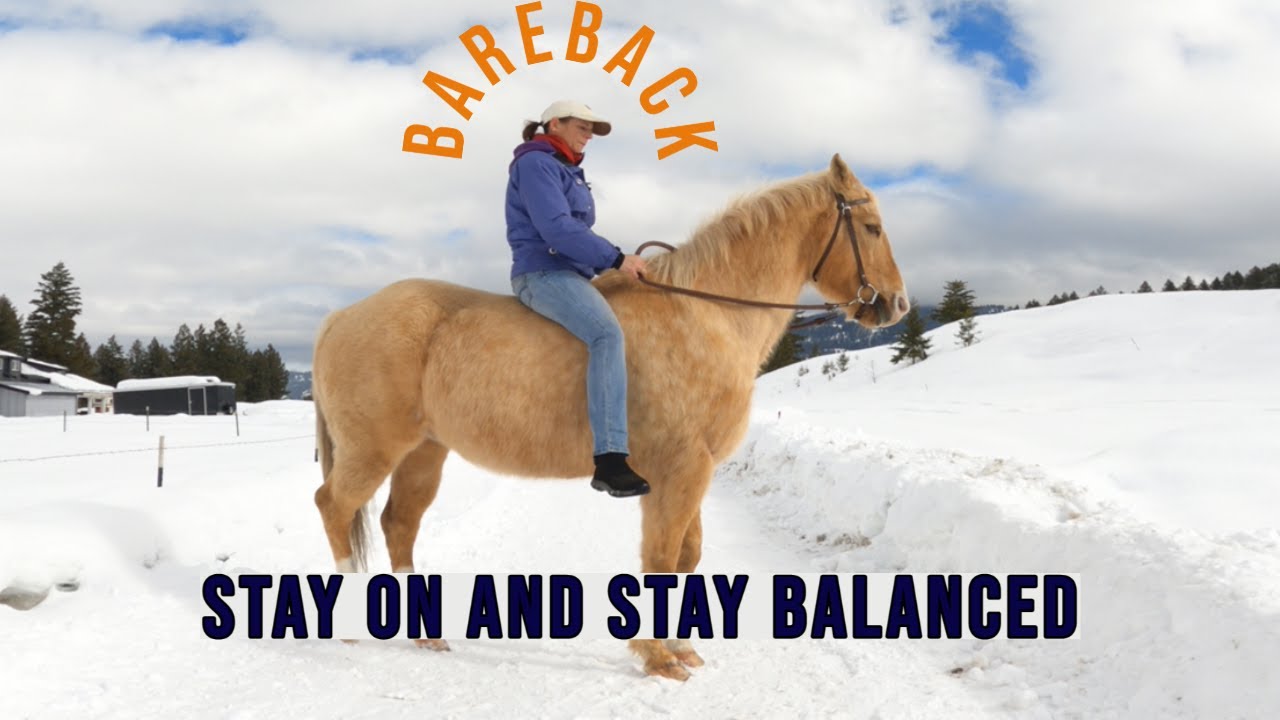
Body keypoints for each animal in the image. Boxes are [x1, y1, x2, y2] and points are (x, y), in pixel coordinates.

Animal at [309, 153, 910, 680]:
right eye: (873, 227)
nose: (897, 305)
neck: (705, 313)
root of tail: (342, 315)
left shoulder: (694, 471)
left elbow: (687, 555)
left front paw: (680, 648)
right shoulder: (678, 471)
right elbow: (662, 557)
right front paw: (658, 657)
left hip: (424, 453)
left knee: (398, 523)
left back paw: (423, 633)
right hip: (374, 449)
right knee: (334, 506)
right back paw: (350, 625)